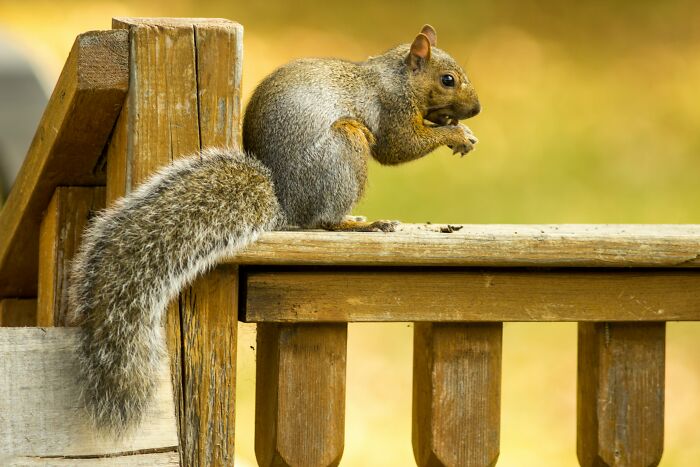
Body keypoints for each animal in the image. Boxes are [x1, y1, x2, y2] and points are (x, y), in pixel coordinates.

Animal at [68, 24, 480, 435]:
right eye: (448, 80)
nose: (476, 109)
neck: (397, 76)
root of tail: (285, 207)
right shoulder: (390, 108)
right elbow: (399, 147)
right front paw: (456, 134)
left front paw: (456, 128)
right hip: (345, 146)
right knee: (323, 220)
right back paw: (361, 224)